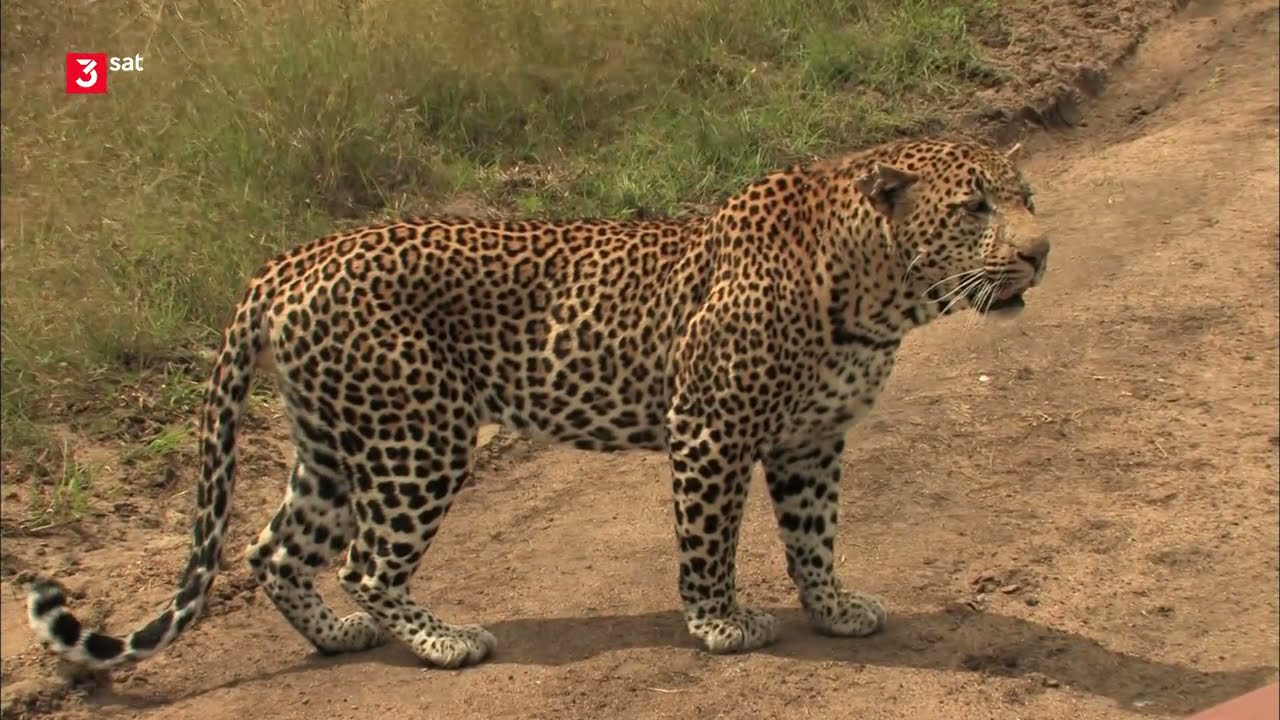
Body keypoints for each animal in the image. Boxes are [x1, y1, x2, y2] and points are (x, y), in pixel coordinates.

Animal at [24, 134, 1049, 671]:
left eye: (1027, 197)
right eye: (974, 209)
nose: (1041, 252)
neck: (880, 294)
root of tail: (285, 262)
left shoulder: (811, 441)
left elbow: (815, 535)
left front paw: (833, 608)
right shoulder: (709, 429)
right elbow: (710, 542)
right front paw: (719, 626)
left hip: (335, 442)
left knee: (271, 550)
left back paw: (342, 639)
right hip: (418, 438)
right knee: (364, 561)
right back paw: (442, 641)